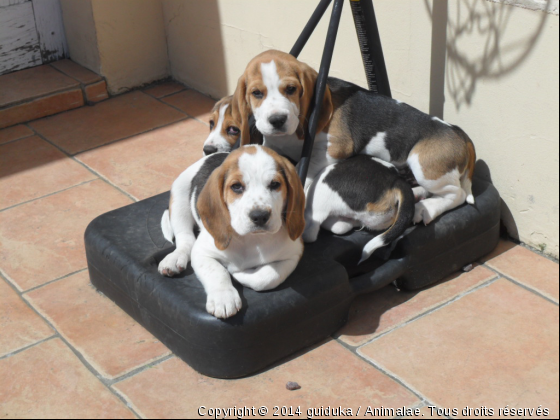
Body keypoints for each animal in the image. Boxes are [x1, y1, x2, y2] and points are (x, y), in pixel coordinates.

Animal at [158, 144, 306, 318]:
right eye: (236, 186)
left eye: (275, 184)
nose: (260, 216)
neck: (251, 240)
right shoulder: (201, 253)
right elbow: (217, 271)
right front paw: (223, 298)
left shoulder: (293, 255)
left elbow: (266, 277)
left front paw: (239, 274)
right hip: (179, 197)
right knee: (185, 239)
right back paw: (175, 258)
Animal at [232, 50, 476, 226]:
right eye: (256, 93)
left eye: (291, 89)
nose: (277, 120)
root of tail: (459, 133)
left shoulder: (333, 150)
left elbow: (307, 169)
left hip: (426, 168)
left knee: (458, 194)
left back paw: (425, 210)